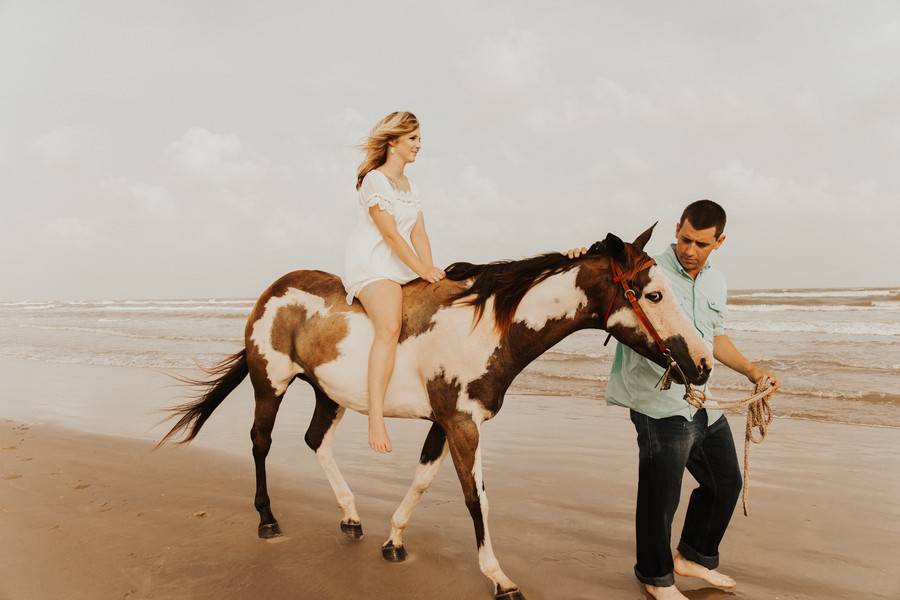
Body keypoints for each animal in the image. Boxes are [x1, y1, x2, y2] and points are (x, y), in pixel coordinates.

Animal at [160, 226, 712, 600]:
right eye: (654, 294)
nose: (703, 365)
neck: (482, 328)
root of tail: (274, 290)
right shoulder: (462, 425)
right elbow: (476, 498)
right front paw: (499, 577)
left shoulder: (444, 424)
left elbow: (424, 480)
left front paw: (393, 541)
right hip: (269, 384)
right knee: (261, 443)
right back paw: (268, 520)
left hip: (328, 394)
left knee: (315, 442)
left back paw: (351, 517)